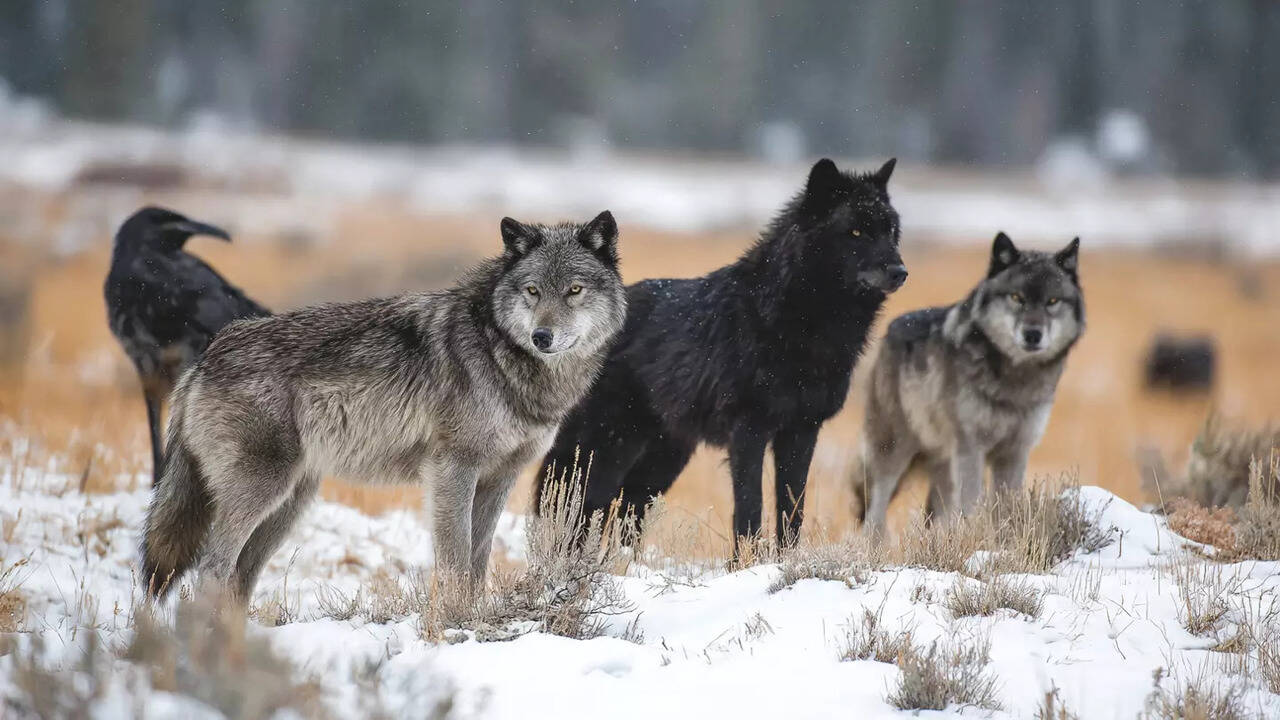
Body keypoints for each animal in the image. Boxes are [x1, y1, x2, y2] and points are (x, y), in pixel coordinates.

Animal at [141, 211, 626, 601]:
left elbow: (477, 563)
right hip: (263, 491)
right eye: (532, 290)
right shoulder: (453, 469)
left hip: (290, 503)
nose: (542, 337)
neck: (498, 350)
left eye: (574, 290)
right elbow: (455, 562)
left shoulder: (500, 477)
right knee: (212, 568)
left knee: (240, 575)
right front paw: (455, 620)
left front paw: (475, 616)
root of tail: (204, 359)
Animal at [538, 159, 906, 549]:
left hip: (663, 458)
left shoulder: (802, 430)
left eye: (890, 231)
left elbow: (792, 510)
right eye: (856, 232)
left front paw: (785, 559)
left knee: (625, 513)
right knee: (579, 508)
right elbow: (749, 510)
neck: (799, 322)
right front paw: (747, 561)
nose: (900, 272)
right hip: (607, 449)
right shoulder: (748, 430)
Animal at [855, 232, 1084, 535]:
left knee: (935, 512)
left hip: (943, 462)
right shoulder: (971, 447)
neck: (1014, 378)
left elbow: (1006, 506)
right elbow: (971, 503)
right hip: (895, 449)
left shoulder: (1015, 452)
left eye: (1052, 301)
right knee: (876, 510)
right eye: (1017, 298)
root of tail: (890, 329)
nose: (1032, 334)